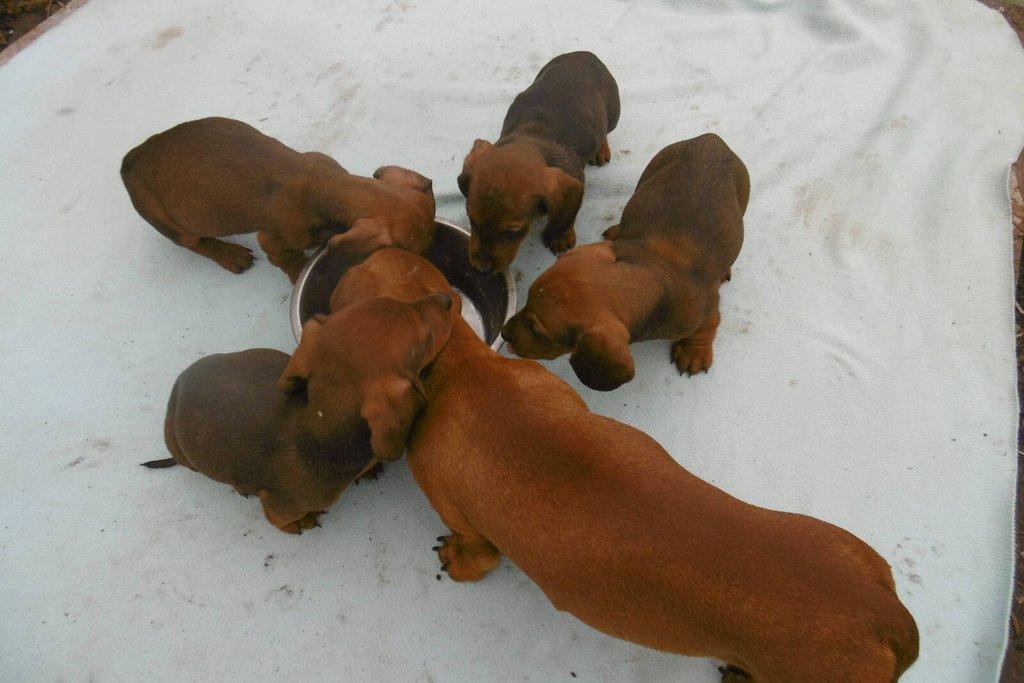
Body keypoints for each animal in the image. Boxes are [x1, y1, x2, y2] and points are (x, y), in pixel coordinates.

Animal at [120, 117, 436, 280]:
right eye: (414, 252)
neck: (327, 187)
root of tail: (131, 159)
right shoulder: (276, 241)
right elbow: (291, 262)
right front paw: (297, 276)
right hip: (171, 223)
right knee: (197, 244)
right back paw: (229, 254)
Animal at [142, 294, 454, 532]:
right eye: (425, 333)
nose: (447, 298)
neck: (320, 424)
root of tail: (177, 388)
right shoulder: (281, 506)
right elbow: (281, 519)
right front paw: (300, 524)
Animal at [460, 52, 618, 274]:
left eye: (512, 231)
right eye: (472, 220)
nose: (480, 270)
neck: (531, 137)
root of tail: (585, 53)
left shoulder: (576, 181)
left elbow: (569, 213)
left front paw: (561, 235)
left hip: (613, 114)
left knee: (605, 131)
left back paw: (601, 149)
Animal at [505, 133, 753, 389]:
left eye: (539, 333)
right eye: (528, 297)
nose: (504, 334)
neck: (656, 271)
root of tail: (711, 139)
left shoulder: (706, 310)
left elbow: (707, 327)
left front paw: (694, 352)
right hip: (650, 171)